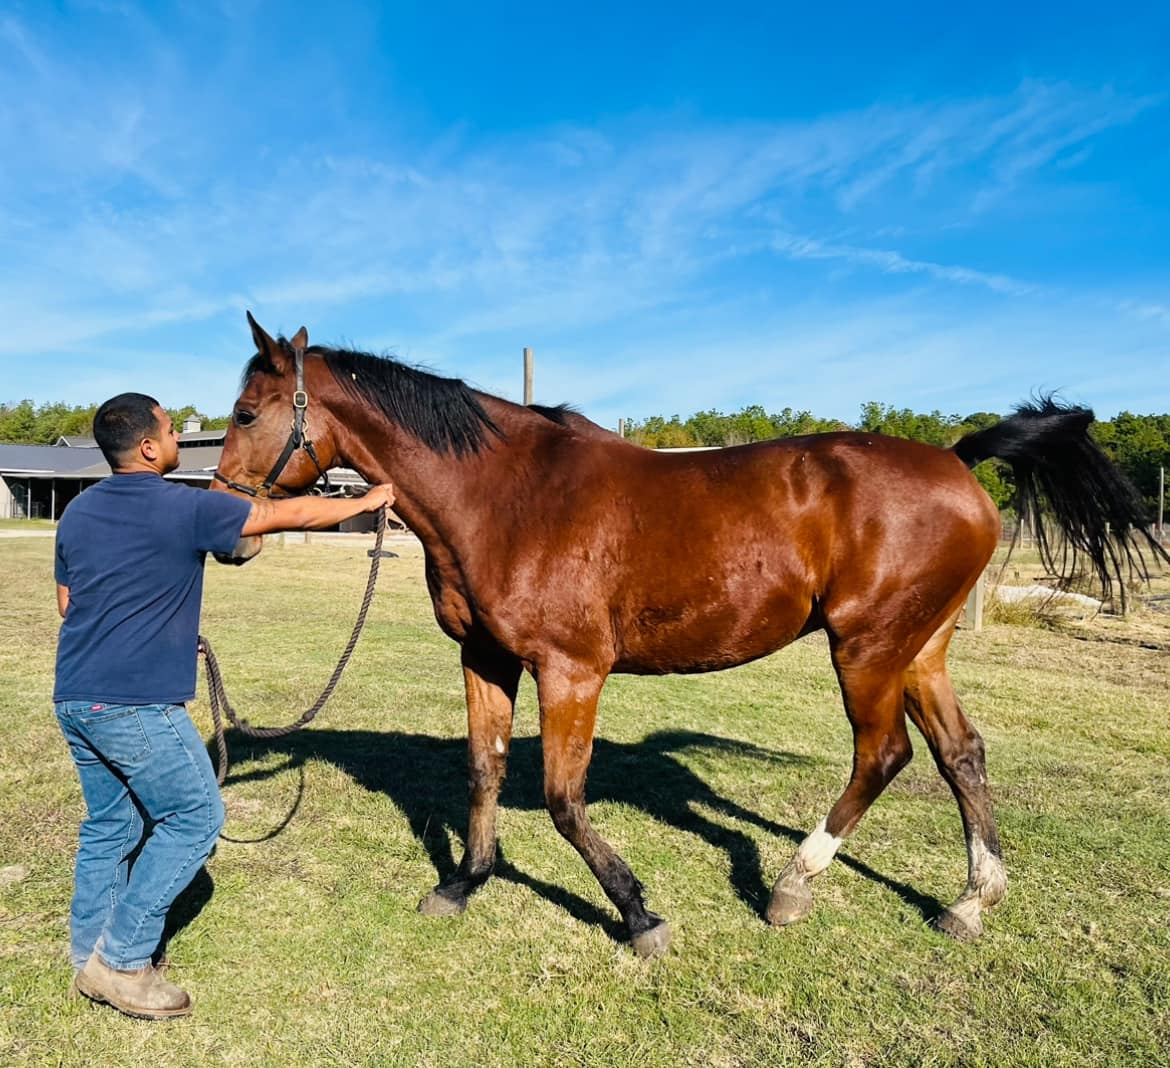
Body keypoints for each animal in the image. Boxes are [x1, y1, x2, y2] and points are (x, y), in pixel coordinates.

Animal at [213, 312, 1167, 958]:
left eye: (248, 413)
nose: (231, 525)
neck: (506, 496)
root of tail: (958, 460)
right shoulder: (486, 659)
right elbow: (484, 770)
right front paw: (465, 883)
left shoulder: (572, 670)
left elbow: (563, 799)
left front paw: (638, 912)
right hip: (918, 648)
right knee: (960, 754)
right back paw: (971, 901)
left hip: (866, 650)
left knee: (884, 755)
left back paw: (792, 887)